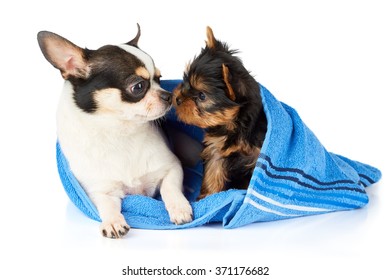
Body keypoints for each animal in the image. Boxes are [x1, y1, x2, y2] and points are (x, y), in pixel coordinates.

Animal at [174, 26, 268, 200]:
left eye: (202, 96)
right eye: (185, 80)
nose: (177, 98)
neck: (234, 124)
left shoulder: (257, 154)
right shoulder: (215, 148)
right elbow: (213, 173)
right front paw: (207, 198)